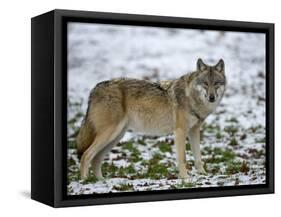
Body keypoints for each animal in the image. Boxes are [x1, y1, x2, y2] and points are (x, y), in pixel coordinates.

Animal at [76, 58, 225, 180]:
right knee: (86, 155)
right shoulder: (180, 131)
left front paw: (203, 175)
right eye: (205, 83)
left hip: (116, 137)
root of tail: (95, 89)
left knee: (96, 159)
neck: (191, 97)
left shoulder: (194, 131)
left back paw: (101, 181)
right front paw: (185, 178)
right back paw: (85, 181)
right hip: (110, 134)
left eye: (216, 83)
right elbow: (182, 158)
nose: (212, 97)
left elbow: (198, 157)